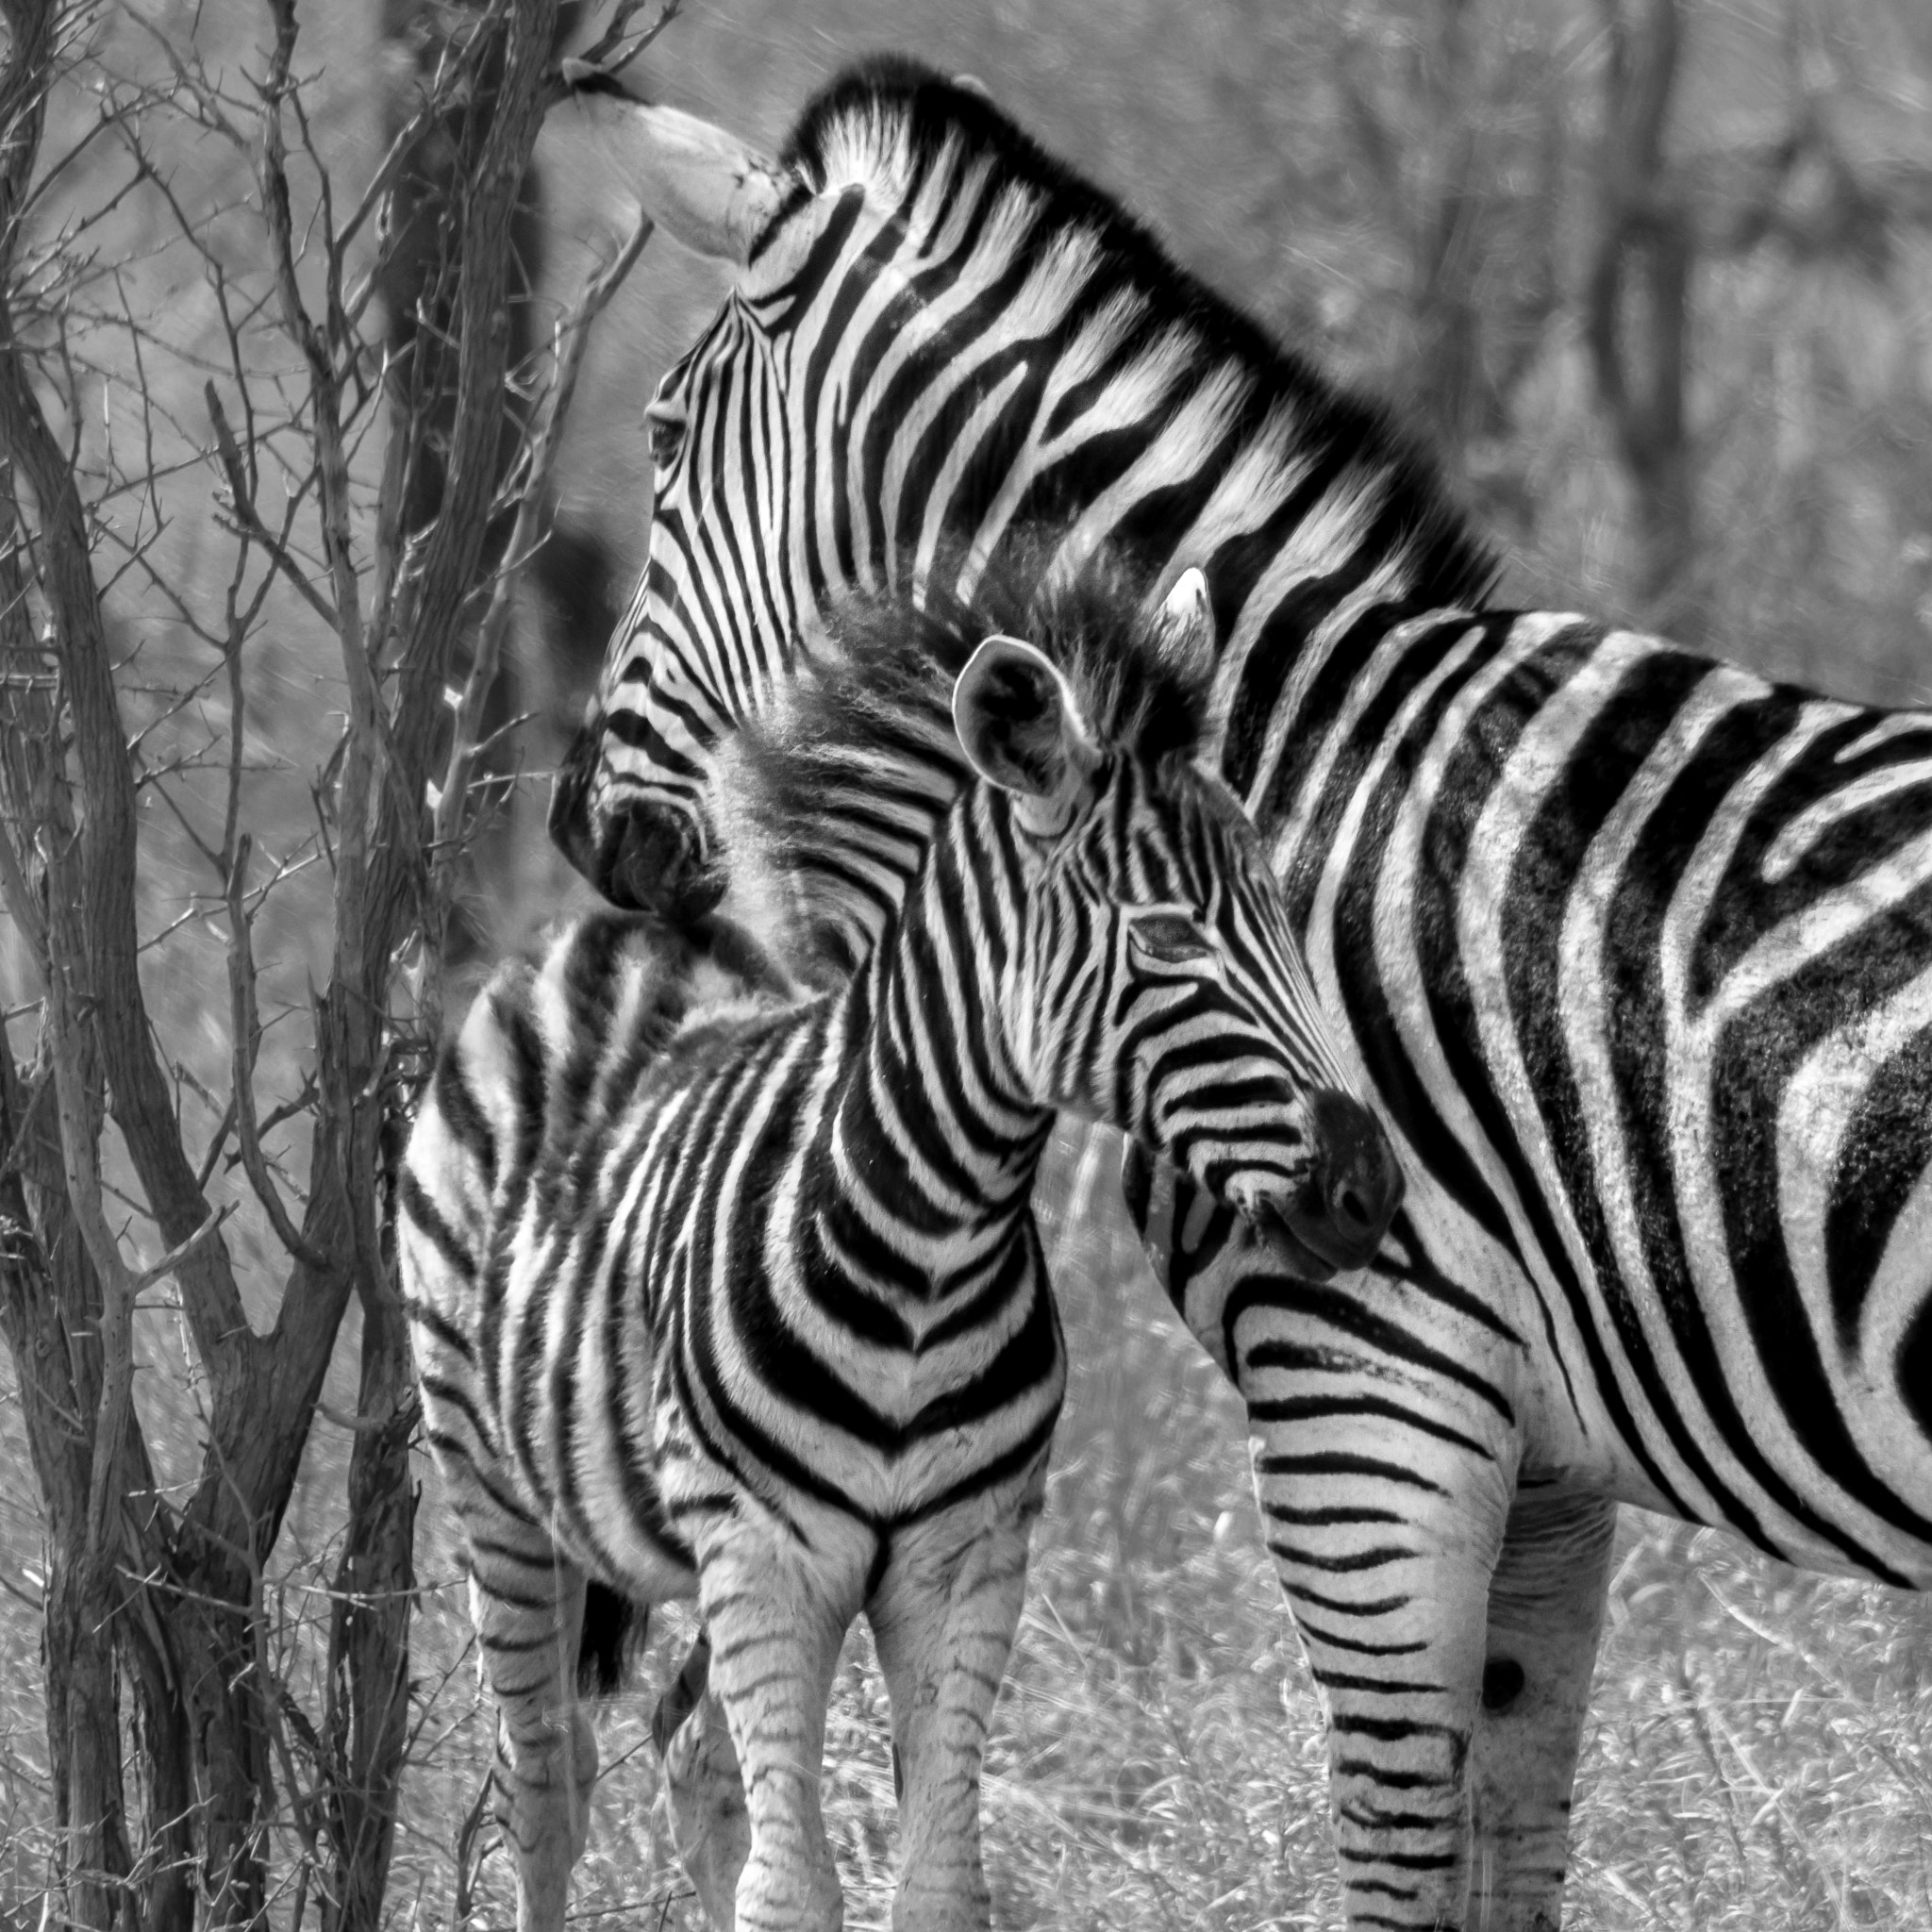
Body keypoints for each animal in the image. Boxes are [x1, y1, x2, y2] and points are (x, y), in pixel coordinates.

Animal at [402, 568, 1402, 1932]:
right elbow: (789, 1891)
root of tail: (599, 937)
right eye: (1166, 940)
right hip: (491, 1487)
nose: (1372, 1189)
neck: (926, 1251)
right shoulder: (766, 1559)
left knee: (689, 1754)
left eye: (1285, 920)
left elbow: (934, 1882)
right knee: (547, 1786)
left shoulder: (963, 1564)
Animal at [546, 55, 1932, 1932]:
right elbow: (1508, 1845)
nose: (578, 828)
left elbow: (1391, 1856)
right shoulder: (1545, 1462)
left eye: (660, 443)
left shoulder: (1366, 1383)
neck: (1289, 757)